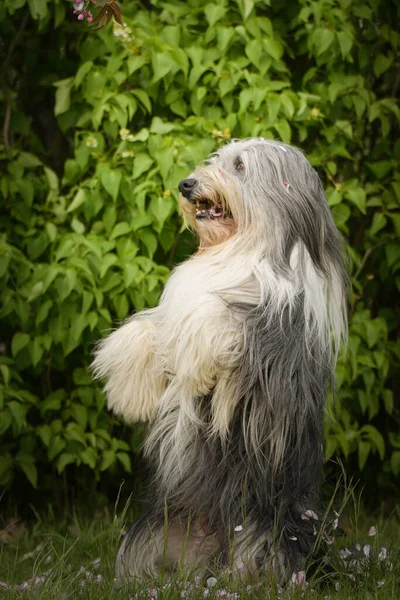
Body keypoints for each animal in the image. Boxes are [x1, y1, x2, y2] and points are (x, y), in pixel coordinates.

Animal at [91, 138, 346, 584]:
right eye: (215, 159)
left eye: (240, 166)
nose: (187, 184)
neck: (238, 249)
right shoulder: (179, 304)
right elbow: (157, 325)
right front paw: (127, 390)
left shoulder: (269, 356)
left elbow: (215, 316)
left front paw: (194, 358)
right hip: (150, 538)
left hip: (261, 534)